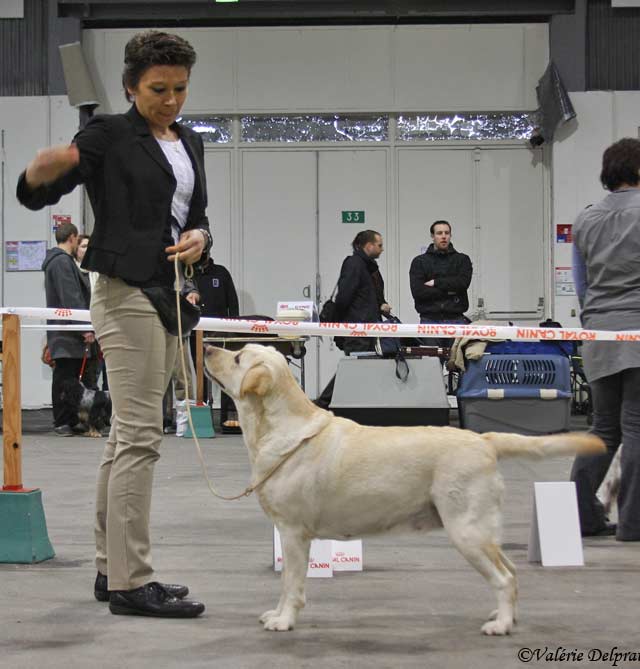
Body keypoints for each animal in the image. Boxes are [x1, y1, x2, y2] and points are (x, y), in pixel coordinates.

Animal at [204, 344, 605, 636]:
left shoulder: (293, 532)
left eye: (237, 357)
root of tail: (484, 440)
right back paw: (505, 615)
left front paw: (284, 620)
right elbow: (286, 582)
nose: (206, 346)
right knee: (512, 570)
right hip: (481, 530)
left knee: (504, 577)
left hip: (467, 529)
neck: (281, 431)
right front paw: (275, 613)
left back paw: (501, 625)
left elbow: (291, 583)